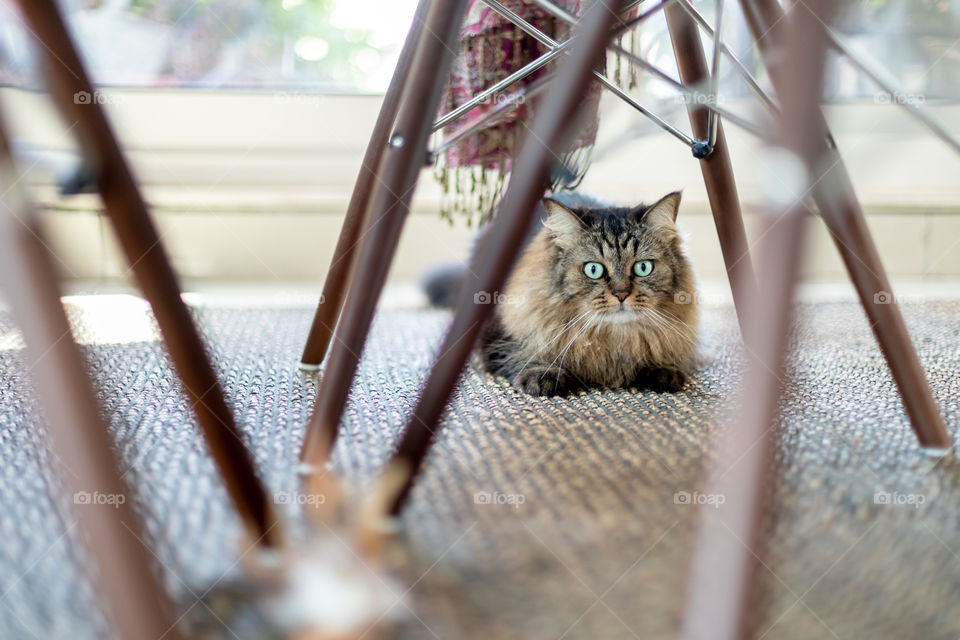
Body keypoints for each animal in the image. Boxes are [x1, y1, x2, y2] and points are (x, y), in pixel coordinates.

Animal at [422, 190, 696, 396]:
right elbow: (523, 354)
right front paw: (544, 375)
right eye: (594, 270)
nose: (621, 294)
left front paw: (662, 371)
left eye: (643, 267)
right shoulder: (497, 336)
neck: (611, 341)